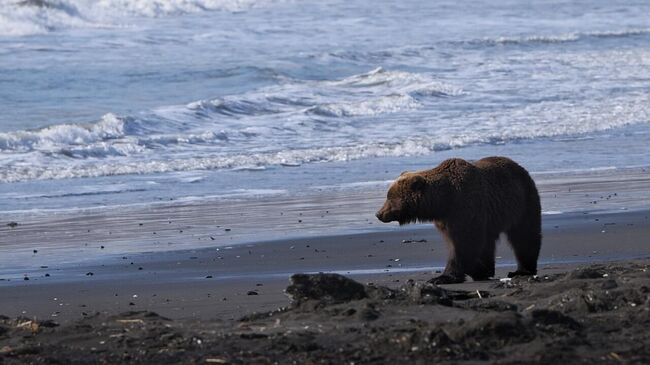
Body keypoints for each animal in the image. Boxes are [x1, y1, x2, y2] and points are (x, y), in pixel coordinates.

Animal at [372, 155, 540, 282]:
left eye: (389, 197)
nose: (379, 214)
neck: (443, 200)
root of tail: (519, 166)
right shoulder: (446, 220)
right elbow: (457, 244)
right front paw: (478, 270)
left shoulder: (465, 208)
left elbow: (464, 243)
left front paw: (443, 277)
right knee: (490, 242)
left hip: (523, 201)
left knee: (524, 235)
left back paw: (522, 270)